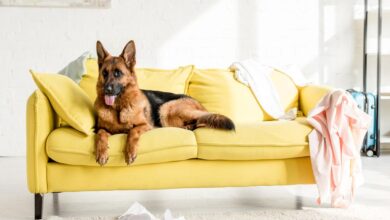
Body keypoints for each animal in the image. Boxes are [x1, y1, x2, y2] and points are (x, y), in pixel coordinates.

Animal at [94, 40, 235, 165]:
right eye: (104, 73)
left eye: (118, 73)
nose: (107, 90)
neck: (118, 108)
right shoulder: (100, 128)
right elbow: (101, 134)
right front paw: (101, 152)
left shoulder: (145, 125)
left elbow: (132, 132)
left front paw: (130, 152)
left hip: (166, 108)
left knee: (202, 119)